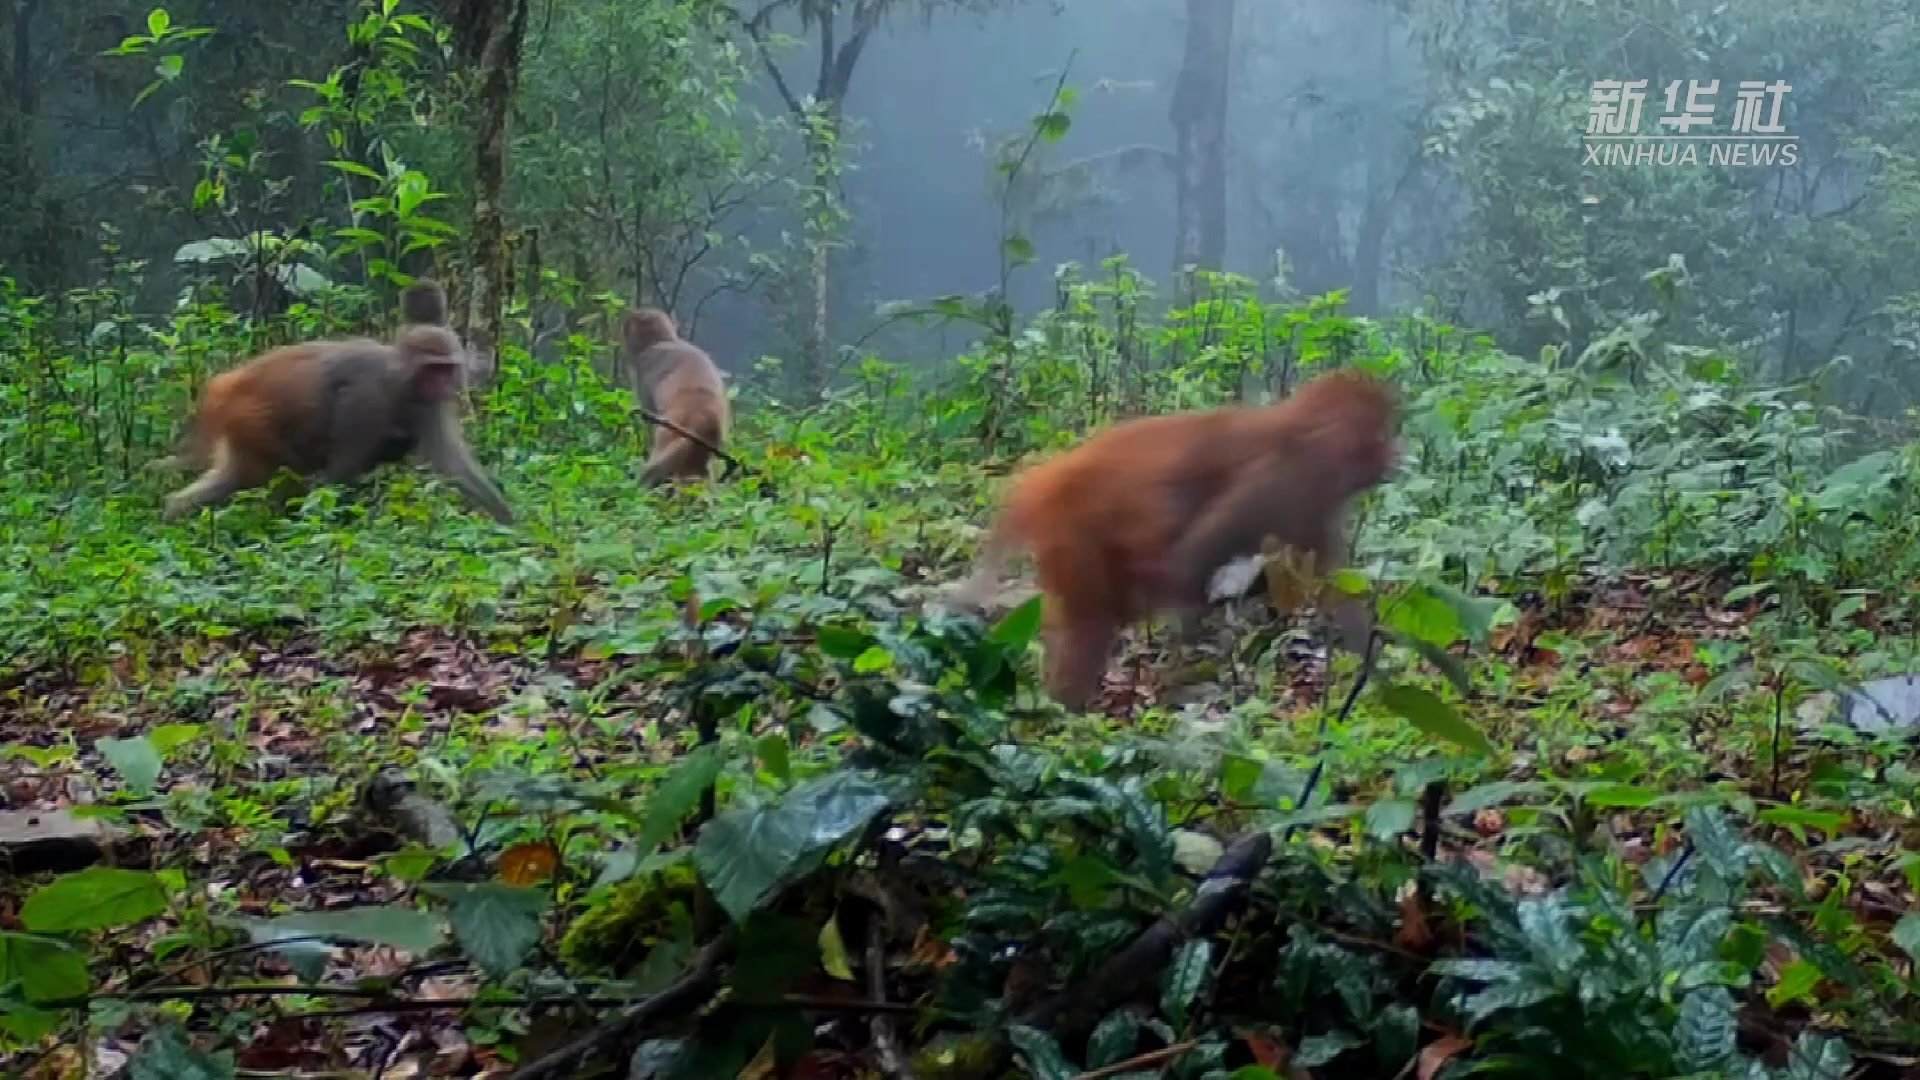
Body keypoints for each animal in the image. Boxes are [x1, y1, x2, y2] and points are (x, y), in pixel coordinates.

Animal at [157, 276, 514, 522]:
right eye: (432, 369)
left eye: (446, 368)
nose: (443, 386)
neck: (400, 380)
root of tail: (226, 383)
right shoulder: (366, 402)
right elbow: (338, 476)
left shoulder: (425, 404)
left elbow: (452, 463)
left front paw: (507, 521)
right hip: (249, 415)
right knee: (279, 470)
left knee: (238, 474)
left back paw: (174, 510)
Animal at [956, 365, 1397, 711]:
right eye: (1380, 434)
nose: (1394, 452)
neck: (1306, 436)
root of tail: (1047, 480)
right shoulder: (1281, 481)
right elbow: (1191, 560)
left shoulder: (1312, 503)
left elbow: (1337, 593)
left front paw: (1377, 677)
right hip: (1072, 534)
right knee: (1096, 619)